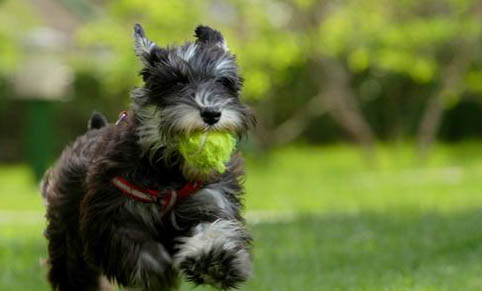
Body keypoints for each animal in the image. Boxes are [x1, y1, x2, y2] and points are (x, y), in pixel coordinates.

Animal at [41, 23, 256, 291]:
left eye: (223, 81)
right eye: (176, 82)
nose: (211, 113)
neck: (167, 169)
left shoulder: (210, 199)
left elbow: (212, 228)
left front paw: (215, 260)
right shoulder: (114, 215)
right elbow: (139, 249)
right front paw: (156, 269)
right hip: (67, 239)